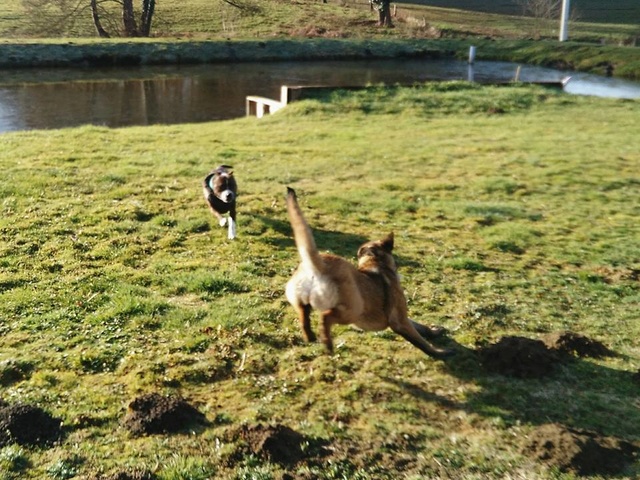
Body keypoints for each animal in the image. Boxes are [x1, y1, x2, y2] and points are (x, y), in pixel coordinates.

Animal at [284, 188, 456, 360]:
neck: (375, 262)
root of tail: (318, 266)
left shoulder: (403, 317)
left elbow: (419, 326)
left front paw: (434, 331)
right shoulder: (399, 320)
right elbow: (421, 341)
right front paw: (439, 352)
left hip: (302, 302)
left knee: (304, 316)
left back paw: (310, 336)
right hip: (352, 310)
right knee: (325, 317)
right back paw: (327, 343)